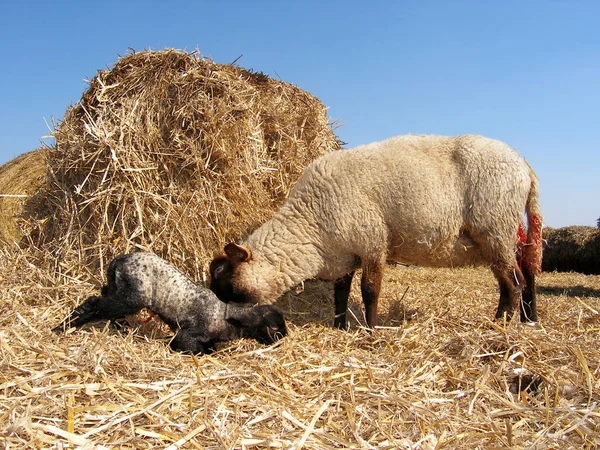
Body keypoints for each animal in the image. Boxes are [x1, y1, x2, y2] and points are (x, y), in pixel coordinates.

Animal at [52, 253, 288, 352]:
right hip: (132, 297)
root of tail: (118, 261)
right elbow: (192, 349)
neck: (222, 316)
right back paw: (62, 327)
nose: (284, 338)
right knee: (96, 303)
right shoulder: (188, 335)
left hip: (119, 288)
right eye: (274, 327)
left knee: (104, 296)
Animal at [209, 135, 540, 328]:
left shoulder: (372, 243)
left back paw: (499, 325)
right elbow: (340, 293)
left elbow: (369, 290)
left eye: (226, 280)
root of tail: (525, 166)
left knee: (514, 284)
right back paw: (522, 320)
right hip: (503, 236)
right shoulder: (344, 254)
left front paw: (370, 329)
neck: (311, 222)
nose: (220, 321)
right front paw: (339, 326)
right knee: (519, 278)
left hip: (495, 227)